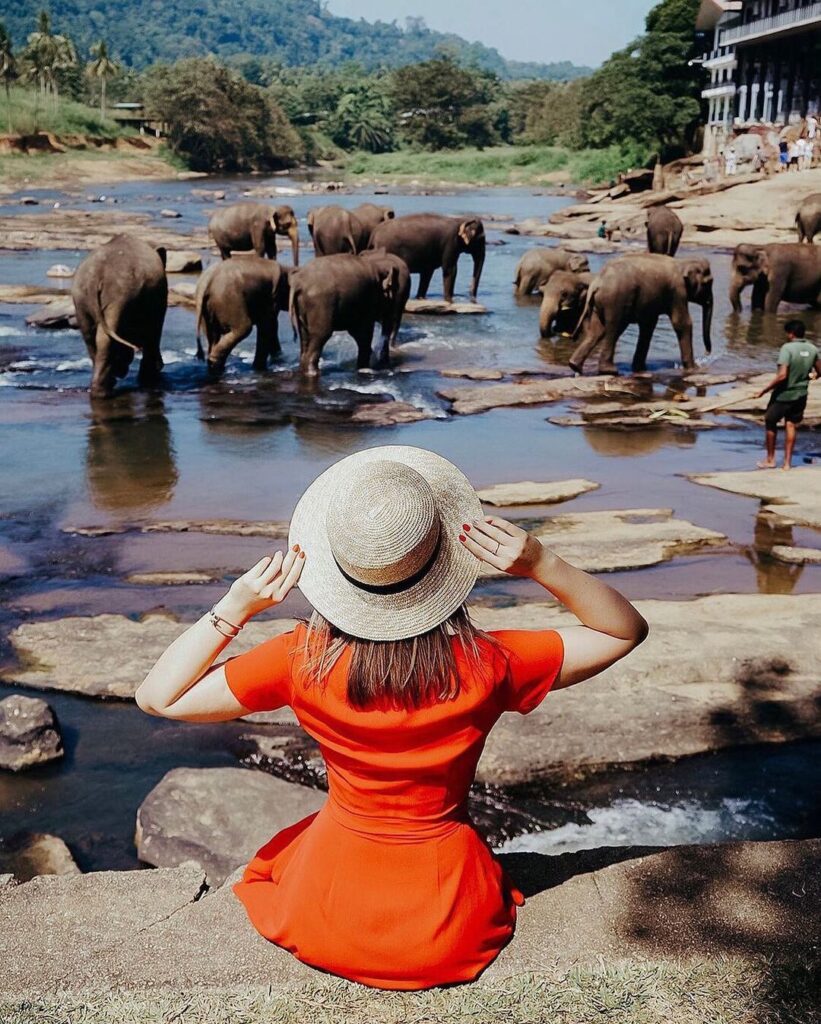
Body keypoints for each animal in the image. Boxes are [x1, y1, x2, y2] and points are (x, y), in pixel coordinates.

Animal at [72, 234, 168, 397]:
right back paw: (103, 392)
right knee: (105, 337)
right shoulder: (159, 299)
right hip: (120, 295)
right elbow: (154, 330)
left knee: (90, 337)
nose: (122, 372)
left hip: (82, 298)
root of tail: (97, 276)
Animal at [569, 254, 713, 375]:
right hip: (616, 301)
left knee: (597, 331)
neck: (682, 262)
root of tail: (597, 283)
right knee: (614, 329)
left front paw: (640, 369)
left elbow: (648, 326)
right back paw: (610, 371)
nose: (707, 353)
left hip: (599, 304)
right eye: (708, 283)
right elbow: (682, 323)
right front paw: (694, 369)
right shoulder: (677, 291)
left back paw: (575, 366)